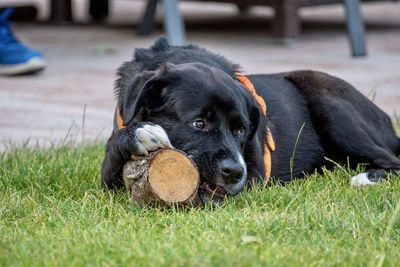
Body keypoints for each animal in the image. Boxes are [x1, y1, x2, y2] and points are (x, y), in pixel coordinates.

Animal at [102, 38, 400, 203]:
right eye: (199, 124)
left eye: (241, 130)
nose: (235, 172)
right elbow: (110, 163)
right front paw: (138, 133)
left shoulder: (255, 174)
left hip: (328, 102)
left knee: (392, 160)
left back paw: (366, 178)